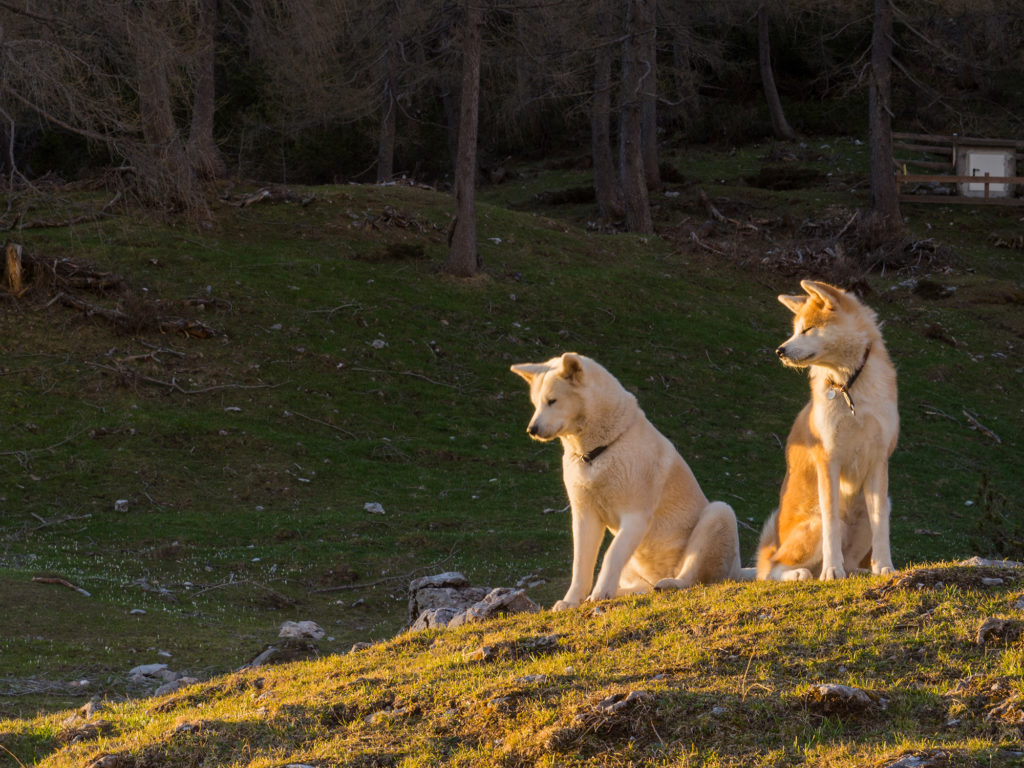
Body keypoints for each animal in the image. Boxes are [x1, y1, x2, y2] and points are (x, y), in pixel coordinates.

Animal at [512, 352, 745, 610]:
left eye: (552, 401)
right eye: (536, 404)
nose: (532, 429)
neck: (596, 452)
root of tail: (738, 571)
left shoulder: (636, 515)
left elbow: (611, 553)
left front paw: (600, 593)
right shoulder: (584, 513)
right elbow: (581, 563)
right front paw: (571, 601)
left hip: (719, 514)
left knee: (692, 575)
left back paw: (670, 583)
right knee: (642, 586)